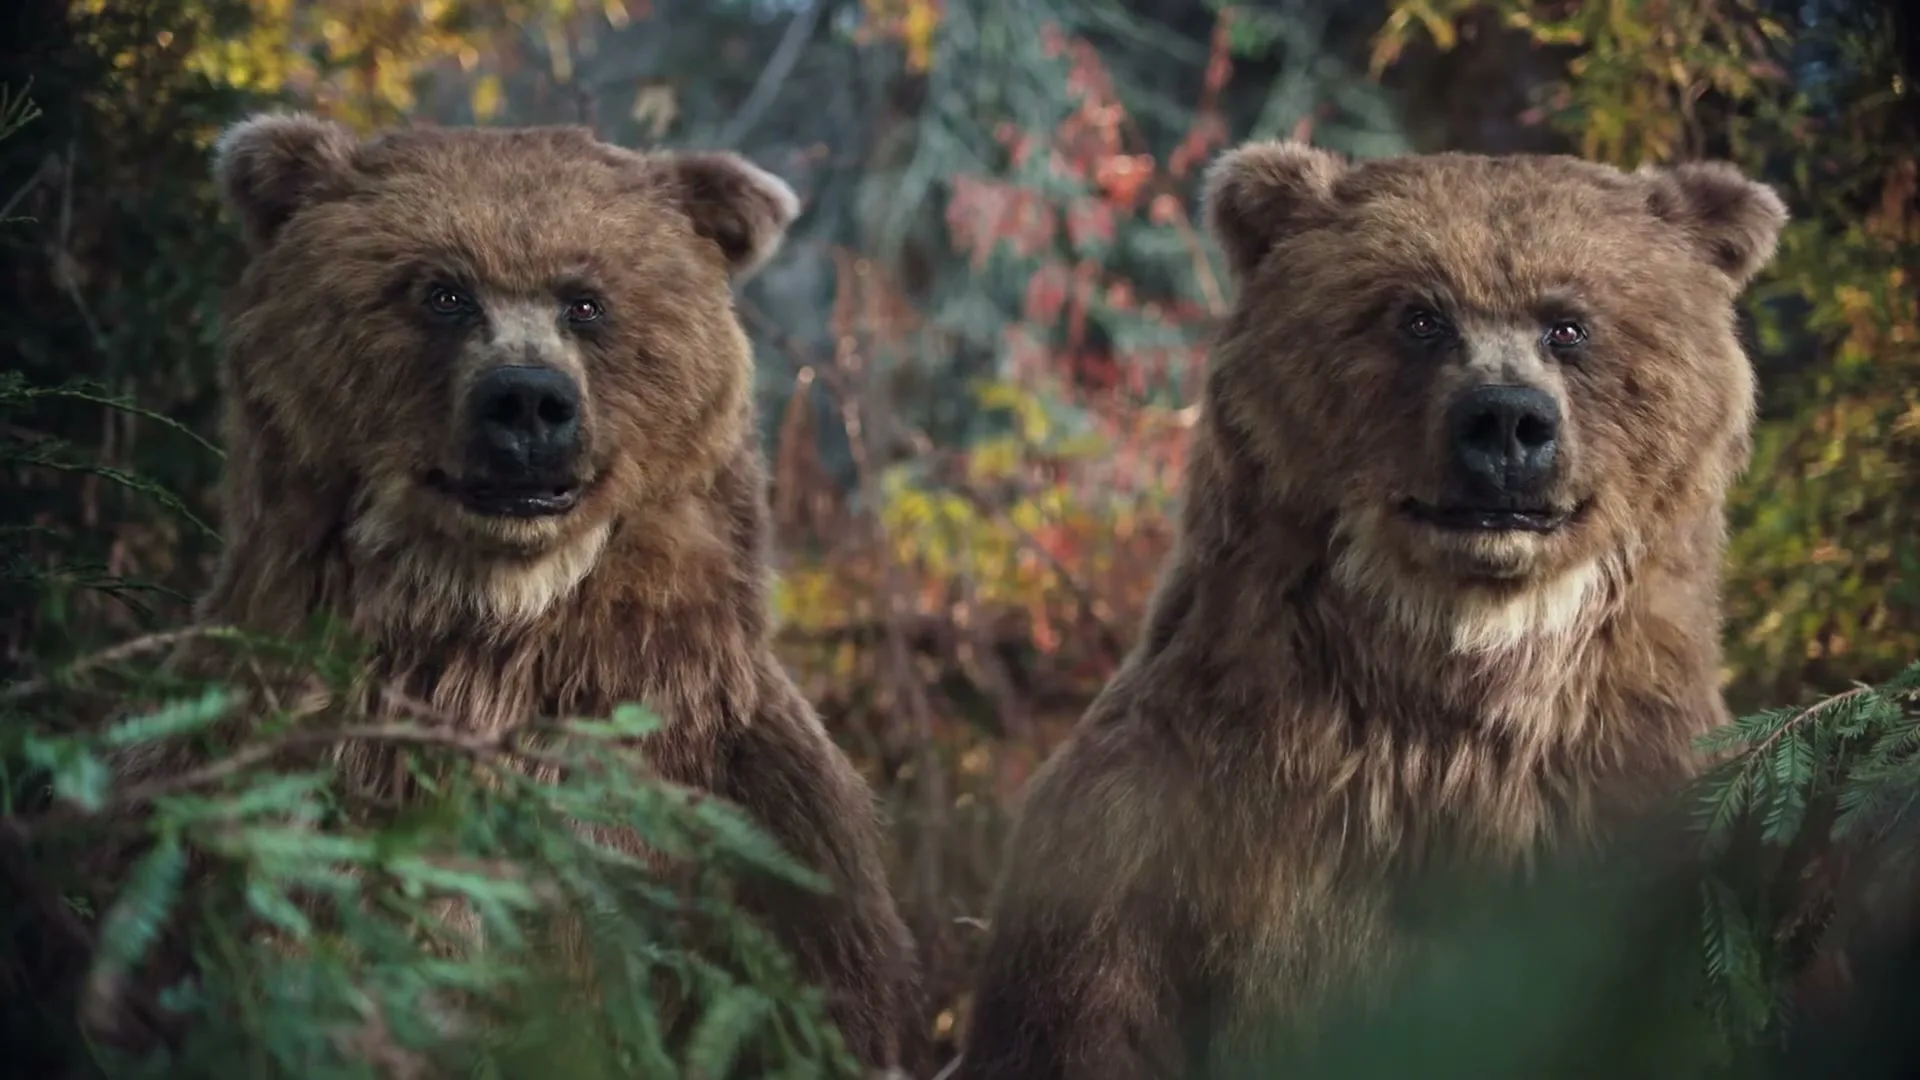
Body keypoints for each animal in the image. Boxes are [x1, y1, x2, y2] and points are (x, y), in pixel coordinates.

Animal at [951, 141, 1788, 1079]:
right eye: (1419, 316)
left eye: (1567, 324)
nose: (1506, 420)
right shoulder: (1147, 846)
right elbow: (1084, 1021)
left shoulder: (1637, 814)